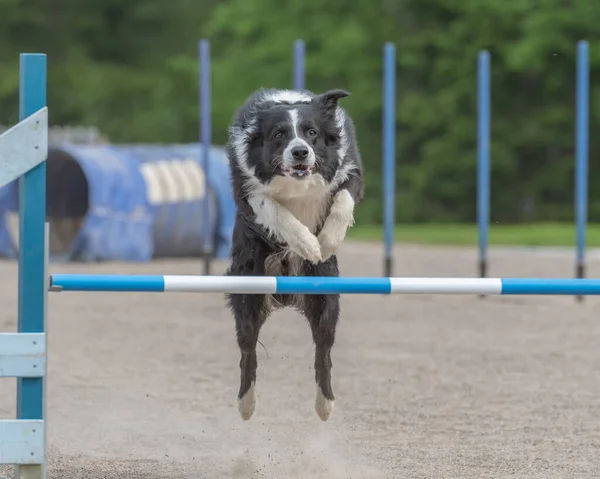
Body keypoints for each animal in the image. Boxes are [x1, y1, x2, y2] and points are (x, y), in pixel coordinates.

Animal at [225, 88, 364, 422]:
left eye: (311, 133)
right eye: (279, 134)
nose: (300, 152)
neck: (297, 184)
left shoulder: (350, 169)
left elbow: (343, 199)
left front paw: (325, 242)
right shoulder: (248, 190)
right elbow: (276, 211)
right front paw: (308, 244)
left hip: (325, 298)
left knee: (323, 352)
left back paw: (325, 406)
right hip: (248, 291)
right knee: (248, 351)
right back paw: (246, 405)